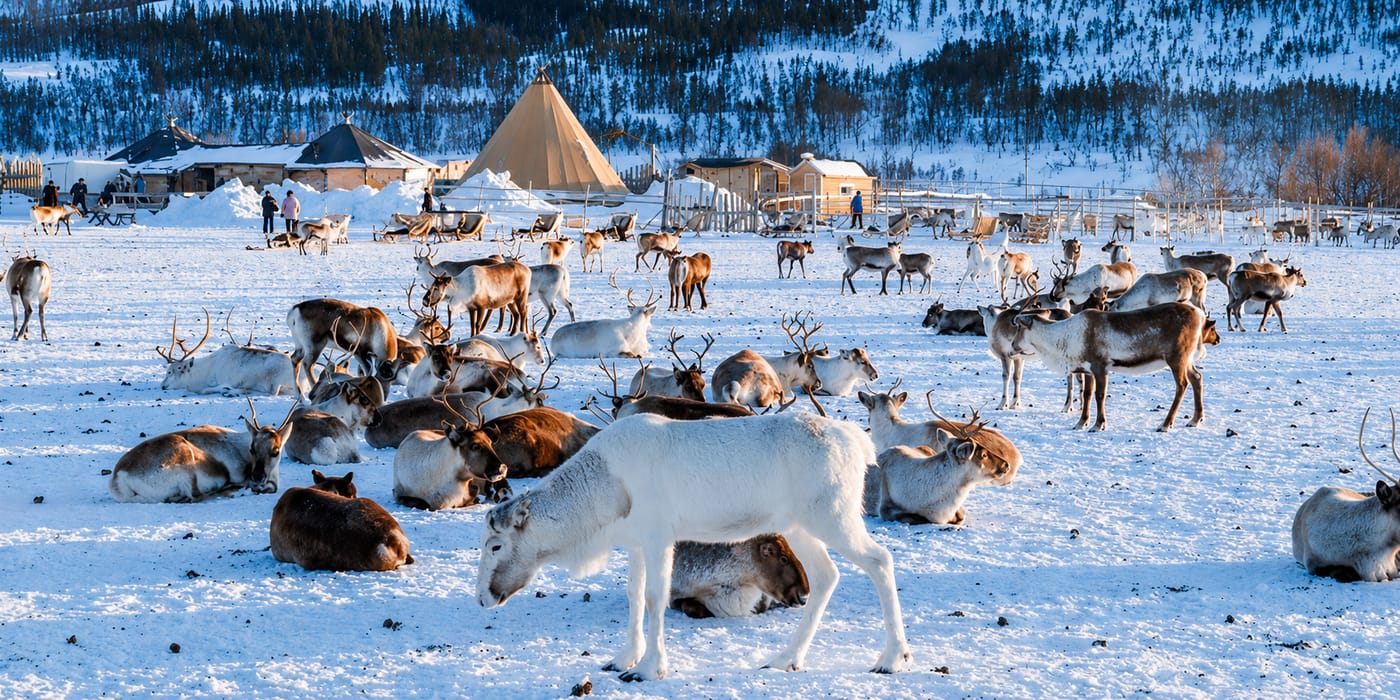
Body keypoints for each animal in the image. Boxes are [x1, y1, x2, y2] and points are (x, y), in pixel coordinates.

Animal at [109, 399, 295, 503]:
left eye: (275, 451)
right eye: (252, 449)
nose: (257, 476)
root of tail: (119, 477)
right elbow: (270, 487)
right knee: (195, 496)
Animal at [1012, 302, 1220, 432]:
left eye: (1019, 327)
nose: (1013, 346)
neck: (1064, 337)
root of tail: (1200, 315)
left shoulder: (1100, 366)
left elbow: (1100, 395)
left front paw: (1098, 425)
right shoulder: (1088, 369)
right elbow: (1087, 395)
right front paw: (1081, 423)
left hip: (1176, 358)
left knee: (1182, 384)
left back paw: (1165, 424)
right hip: (1187, 359)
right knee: (1197, 378)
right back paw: (1195, 420)